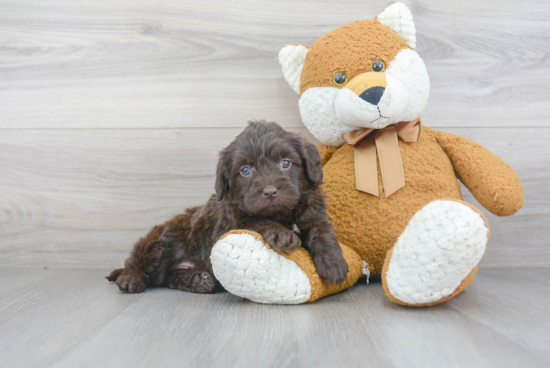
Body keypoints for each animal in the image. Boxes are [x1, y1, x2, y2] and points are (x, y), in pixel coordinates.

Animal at [106, 121, 350, 294]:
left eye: (285, 163)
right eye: (245, 170)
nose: (270, 192)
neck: (281, 213)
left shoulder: (313, 211)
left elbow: (322, 231)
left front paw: (334, 264)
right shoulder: (227, 225)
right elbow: (255, 220)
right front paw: (282, 234)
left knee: (167, 278)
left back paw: (198, 281)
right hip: (165, 238)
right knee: (141, 261)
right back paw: (130, 278)